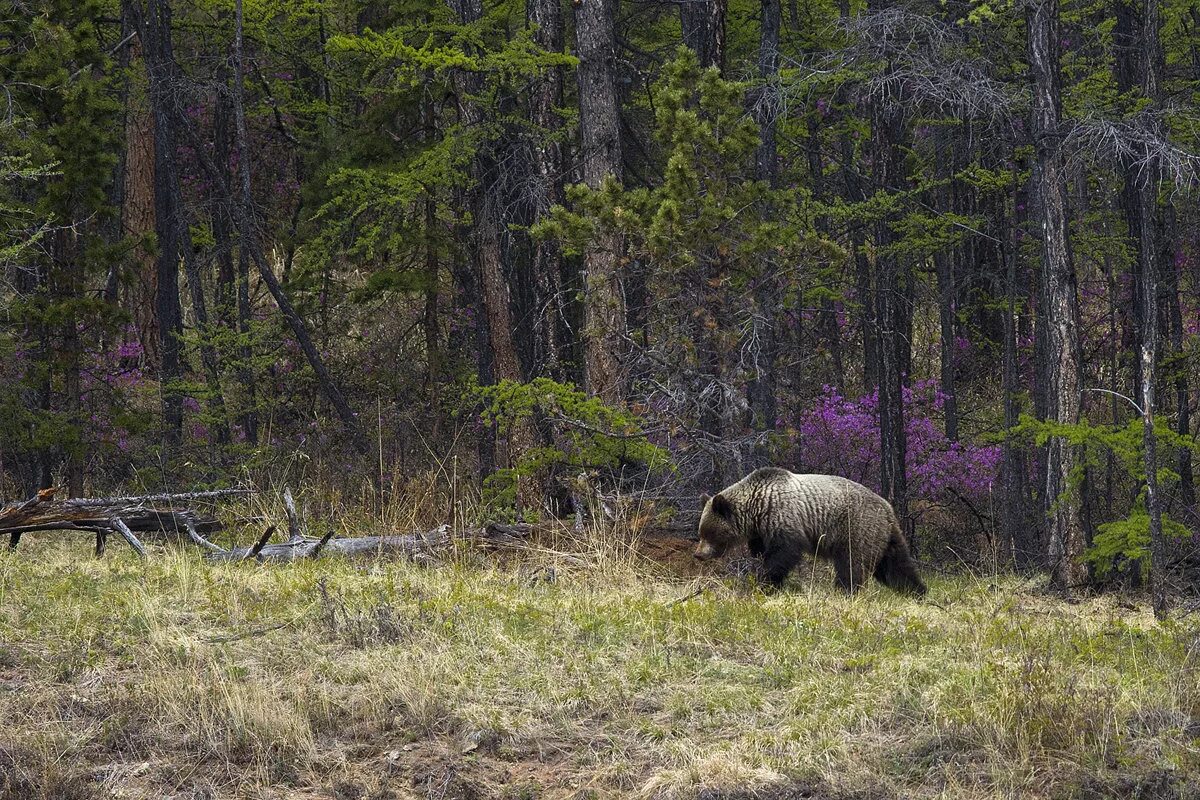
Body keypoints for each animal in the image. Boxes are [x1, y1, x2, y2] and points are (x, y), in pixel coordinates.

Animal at [696, 470, 926, 594]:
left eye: (707, 532)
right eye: (701, 532)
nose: (698, 554)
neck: (757, 509)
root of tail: (888, 508)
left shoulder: (783, 517)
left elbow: (783, 554)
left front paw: (766, 583)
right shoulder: (760, 532)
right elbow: (761, 553)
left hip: (857, 527)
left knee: (852, 564)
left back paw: (845, 591)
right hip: (883, 535)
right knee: (897, 565)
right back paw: (917, 591)